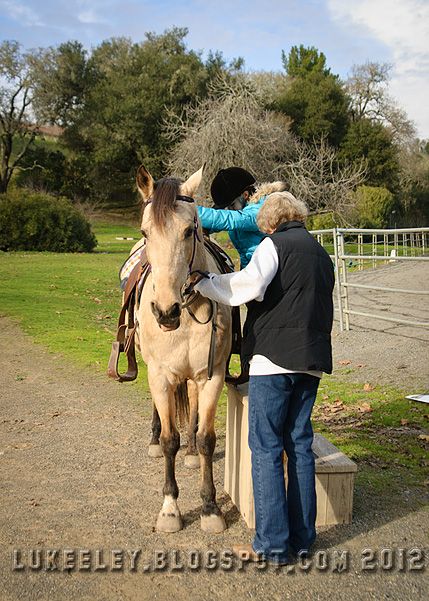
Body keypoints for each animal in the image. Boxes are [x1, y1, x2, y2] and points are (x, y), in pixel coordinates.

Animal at [135, 163, 232, 528]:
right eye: (145, 232)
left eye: (190, 230)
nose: (166, 311)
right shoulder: (160, 375)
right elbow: (169, 440)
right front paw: (170, 508)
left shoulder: (212, 375)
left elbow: (206, 438)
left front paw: (210, 507)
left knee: (190, 407)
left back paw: (189, 452)